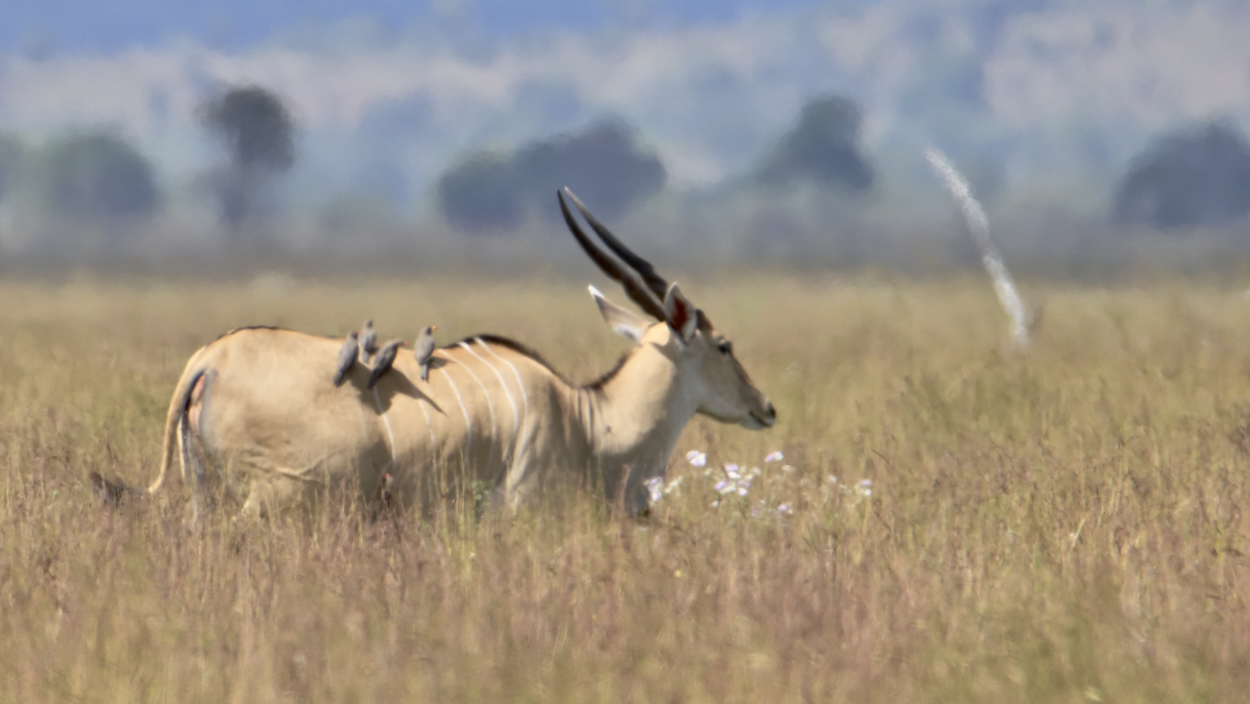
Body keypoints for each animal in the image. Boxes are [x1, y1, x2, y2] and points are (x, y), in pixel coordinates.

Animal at [97, 187, 775, 517]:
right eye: (724, 345)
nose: (765, 407)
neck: (587, 421)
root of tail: (211, 358)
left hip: (203, 495)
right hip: (274, 500)